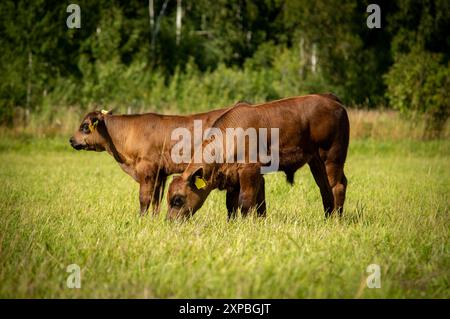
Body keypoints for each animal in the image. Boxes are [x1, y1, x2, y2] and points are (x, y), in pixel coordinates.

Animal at [68, 106, 246, 216]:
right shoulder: (160, 174)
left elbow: (144, 199)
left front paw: (141, 219)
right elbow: (156, 200)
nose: (71, 140)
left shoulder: (147, 171)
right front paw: (153, 219)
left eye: (85, 126)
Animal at [167, 94, 350, 221]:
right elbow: (238, 204)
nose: (169, 221)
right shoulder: (236, 177)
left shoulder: (249, 170)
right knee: (324, 188)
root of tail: (330, 99)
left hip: (332, 158)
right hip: (316, 162)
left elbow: (246, 202)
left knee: (337, 186)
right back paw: (327, 217)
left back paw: (336, 220)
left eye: (177, 200)